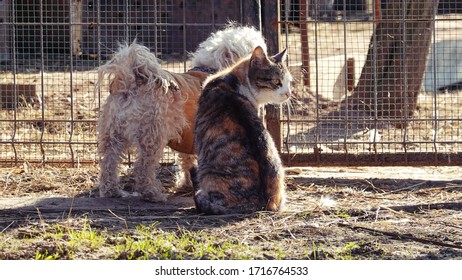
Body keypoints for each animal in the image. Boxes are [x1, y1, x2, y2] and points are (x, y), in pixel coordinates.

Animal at [97, 23, 268, 200]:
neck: (213, 69)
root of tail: (131, 81)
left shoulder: (189, 137)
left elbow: (187, 161)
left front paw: (186, 183)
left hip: (113, 134)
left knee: (109, 163)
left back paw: (112, 190)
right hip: (152, 136)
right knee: (143, 168)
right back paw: (152, 193)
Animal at [191, 47, 292, 215]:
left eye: (289, 82)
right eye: (277, 82)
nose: (289, 93)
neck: (233, 79)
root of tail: (262, 202)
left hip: (205, 178)